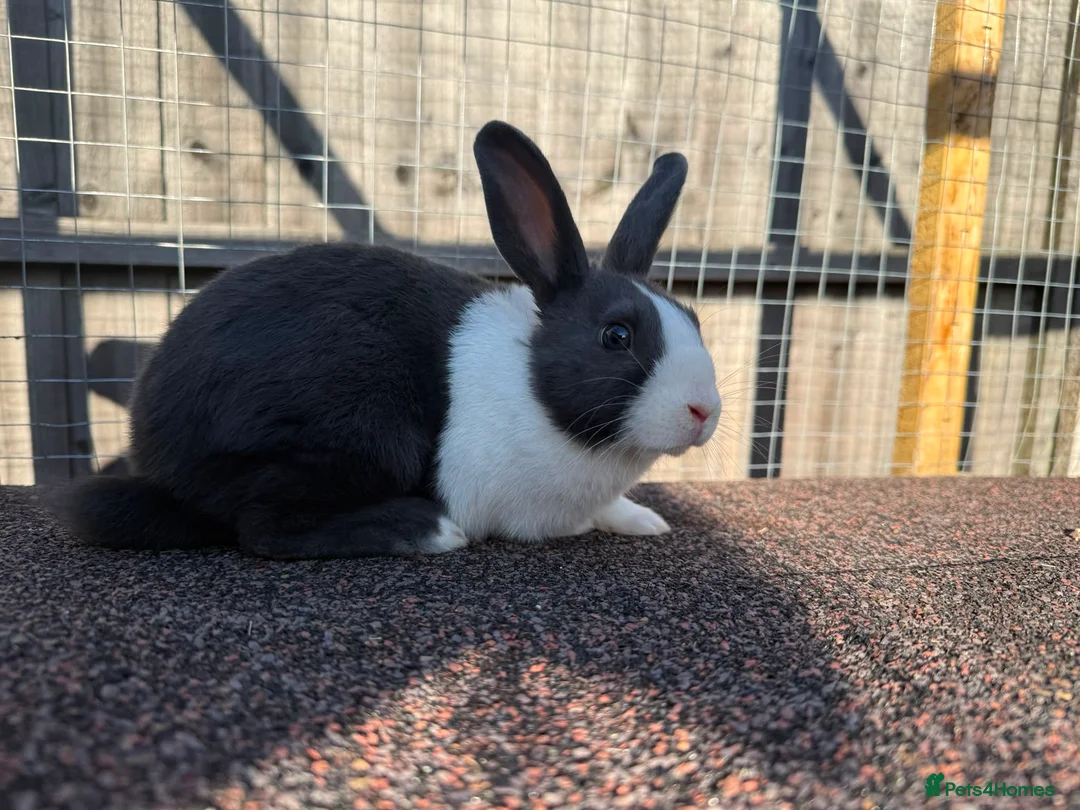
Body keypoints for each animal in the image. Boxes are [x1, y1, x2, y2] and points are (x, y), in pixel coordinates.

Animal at [57, 120, 722, 559]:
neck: (536, 389)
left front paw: (646, 521)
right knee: (263, 528)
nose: (704, 412)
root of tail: (158, 455)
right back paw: (423, 530)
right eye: (617, 335)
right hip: (361, 433)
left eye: (694, 319)